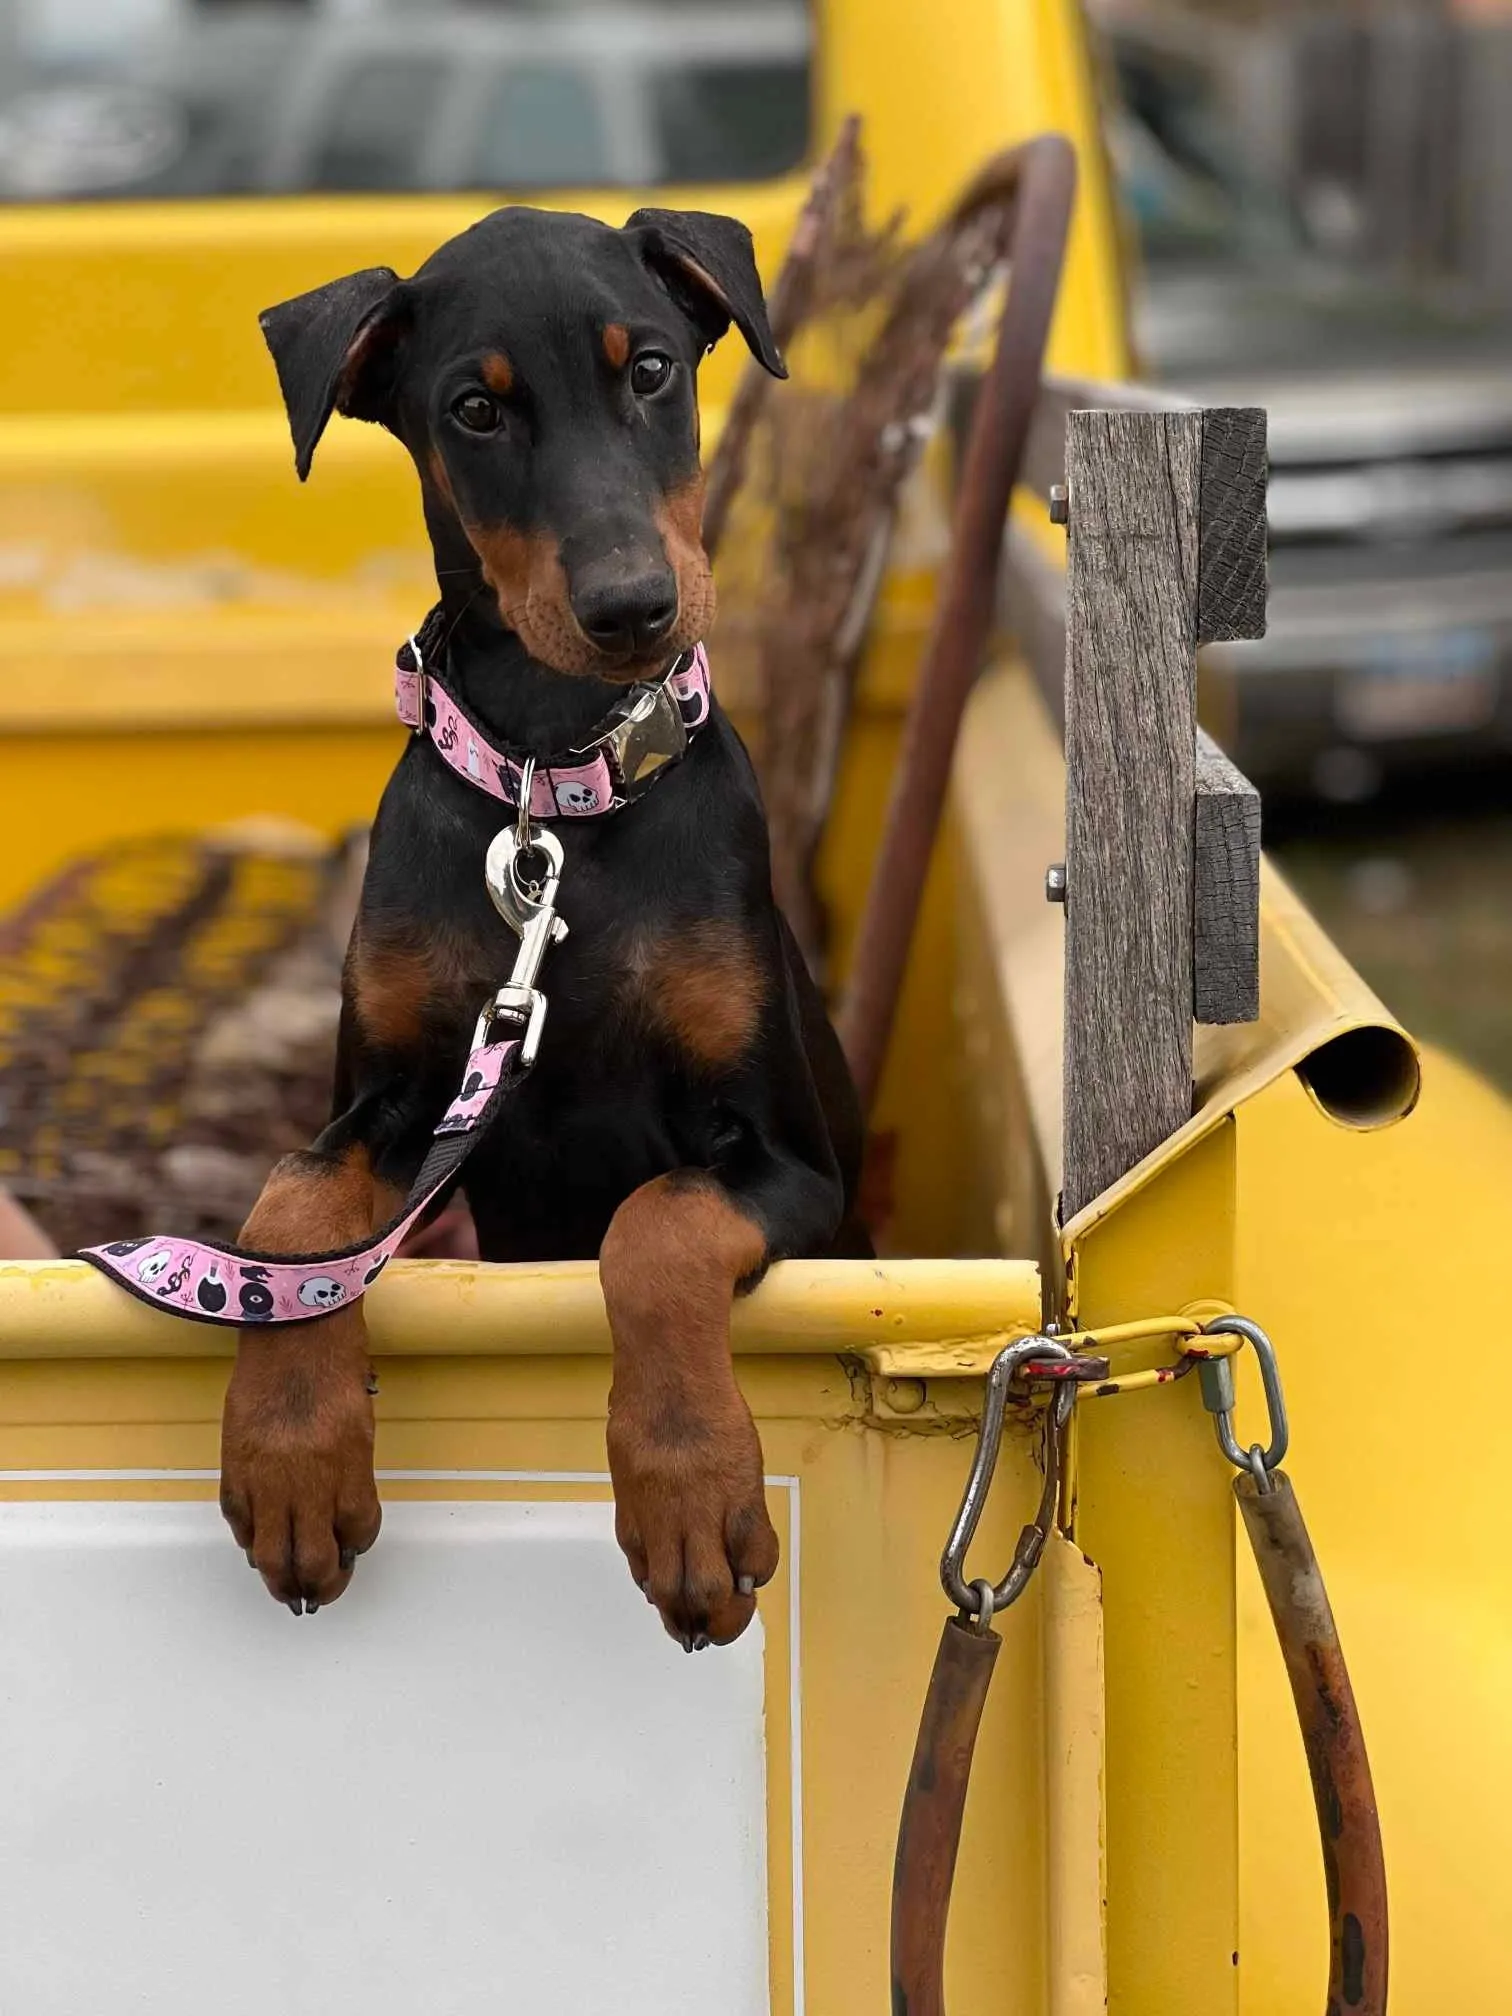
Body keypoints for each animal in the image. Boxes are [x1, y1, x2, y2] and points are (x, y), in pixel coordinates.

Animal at [218, 204, 870, 1653]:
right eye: (475, 409)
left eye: (653, 372)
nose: (632, 609)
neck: (554, 778)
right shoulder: (396, 1094)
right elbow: (291, 1202)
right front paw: (289, 1457)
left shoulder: (795, 1166)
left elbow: (655, 1227)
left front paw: (688, 1495)